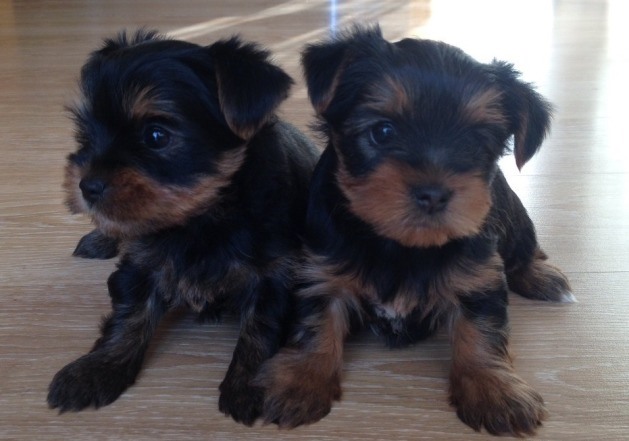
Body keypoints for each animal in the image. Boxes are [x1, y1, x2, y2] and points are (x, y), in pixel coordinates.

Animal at [47, 30, 319, 426]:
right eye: (85, 135)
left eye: (156, 136)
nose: (88, 185)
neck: (199, 218)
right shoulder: (142, 261)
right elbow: (129, 316)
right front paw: (96, 369)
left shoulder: (275, 272)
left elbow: (260, 327)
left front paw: (251, 384)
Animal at [255, 25, 573, 436]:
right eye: (383, 131)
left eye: (476, 142)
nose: (433, 194)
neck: (400, 244)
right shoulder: (322, 268)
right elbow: (316, 320)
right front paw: (302, 380)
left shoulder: (478, 277)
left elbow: (482, 331)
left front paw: (494, 390)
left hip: (513, 216)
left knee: (524, 249)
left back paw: (542, 276)